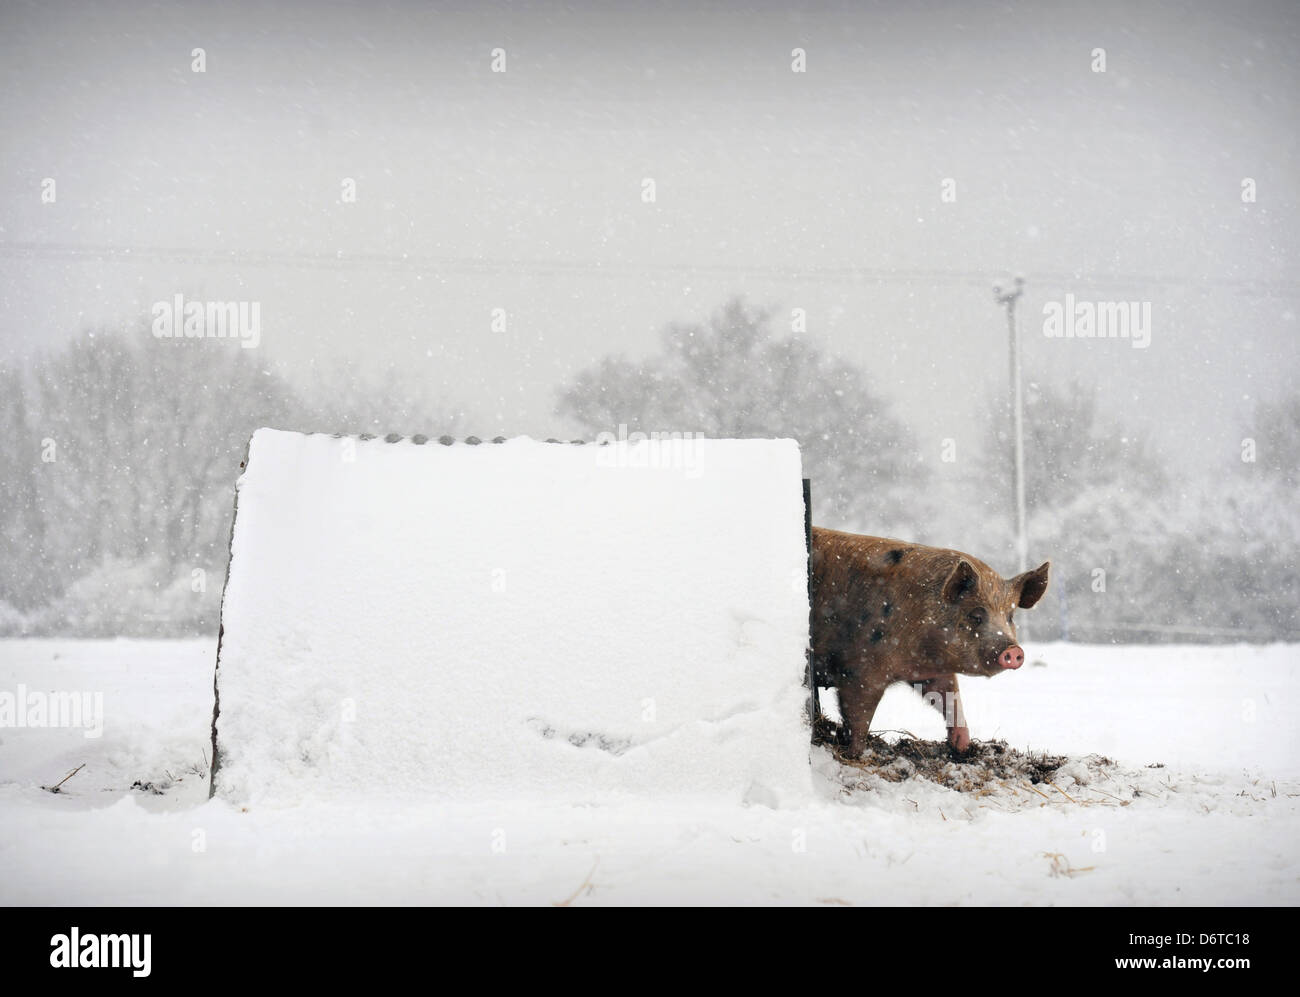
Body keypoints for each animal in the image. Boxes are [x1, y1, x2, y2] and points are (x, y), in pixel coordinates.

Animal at [806, 530, 1050, 759]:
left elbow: (949, 697)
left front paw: (961, 745)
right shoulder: (860, 670)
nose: (1014, 650)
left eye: (1010, 617)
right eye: (976, 615)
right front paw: (854, 754)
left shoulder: (932, 671)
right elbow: (859, 717)